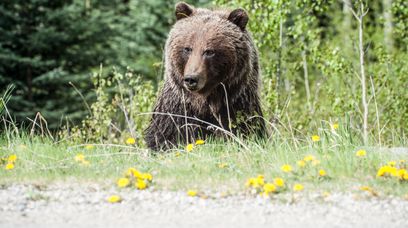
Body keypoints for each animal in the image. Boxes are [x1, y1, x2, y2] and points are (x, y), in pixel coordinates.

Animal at [145, 2, 266, 151]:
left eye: (209, 51)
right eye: (187, 48)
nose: (191, 79)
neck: (205, 102)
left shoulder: (237, 105)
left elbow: (246, 131)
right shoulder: (176, 110)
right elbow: (164, 137)